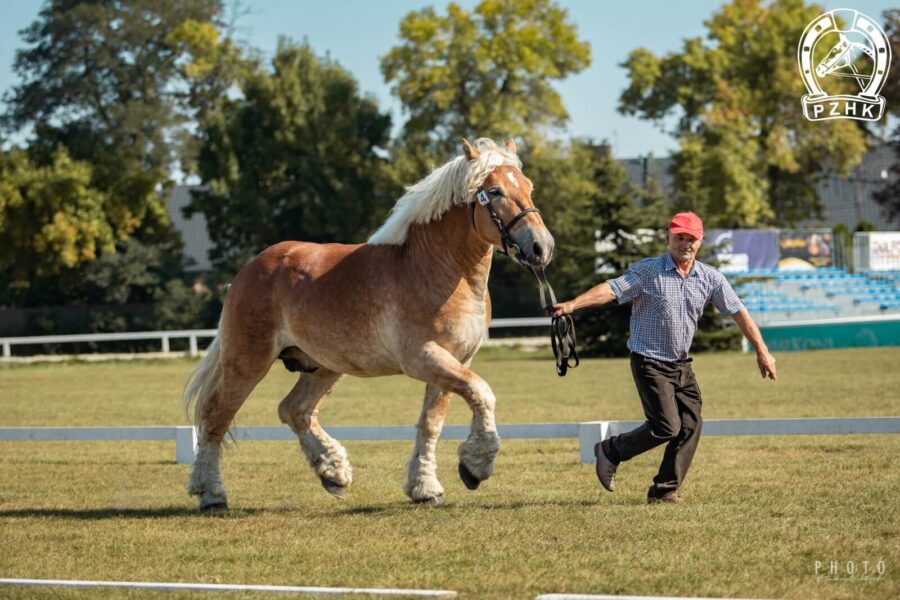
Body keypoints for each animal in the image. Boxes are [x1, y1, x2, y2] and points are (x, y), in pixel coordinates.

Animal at [185, 137, 556, 510]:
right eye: (494, 191)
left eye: (528, 187)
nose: (541, 247)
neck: (436, 268)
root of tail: (251, 268)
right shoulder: (424, 358)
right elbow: (482, 392)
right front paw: (476, 466)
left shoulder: (454, 361)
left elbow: (431, 423)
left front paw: (426, 488)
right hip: (247, 363)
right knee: (215, 417)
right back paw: (211, 493)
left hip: (323, 366)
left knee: (295, 410)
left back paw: (334, 474)